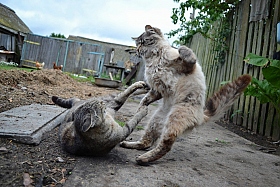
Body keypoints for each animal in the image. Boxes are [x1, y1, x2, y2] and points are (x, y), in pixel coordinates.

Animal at [120, 25, 252, 165]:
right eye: (137, 44)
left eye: (143, 42)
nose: (138, 50)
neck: (153, 60)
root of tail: (201, 115)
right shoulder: (157, 89)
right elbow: (145, 99)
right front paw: (141, 107)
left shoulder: (186, 66)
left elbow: (187, 54)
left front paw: (181, 47)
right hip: (156, 121)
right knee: (148, 142)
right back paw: (130, 146)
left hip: (175, 118)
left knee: (165, 145)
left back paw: (143, 158)